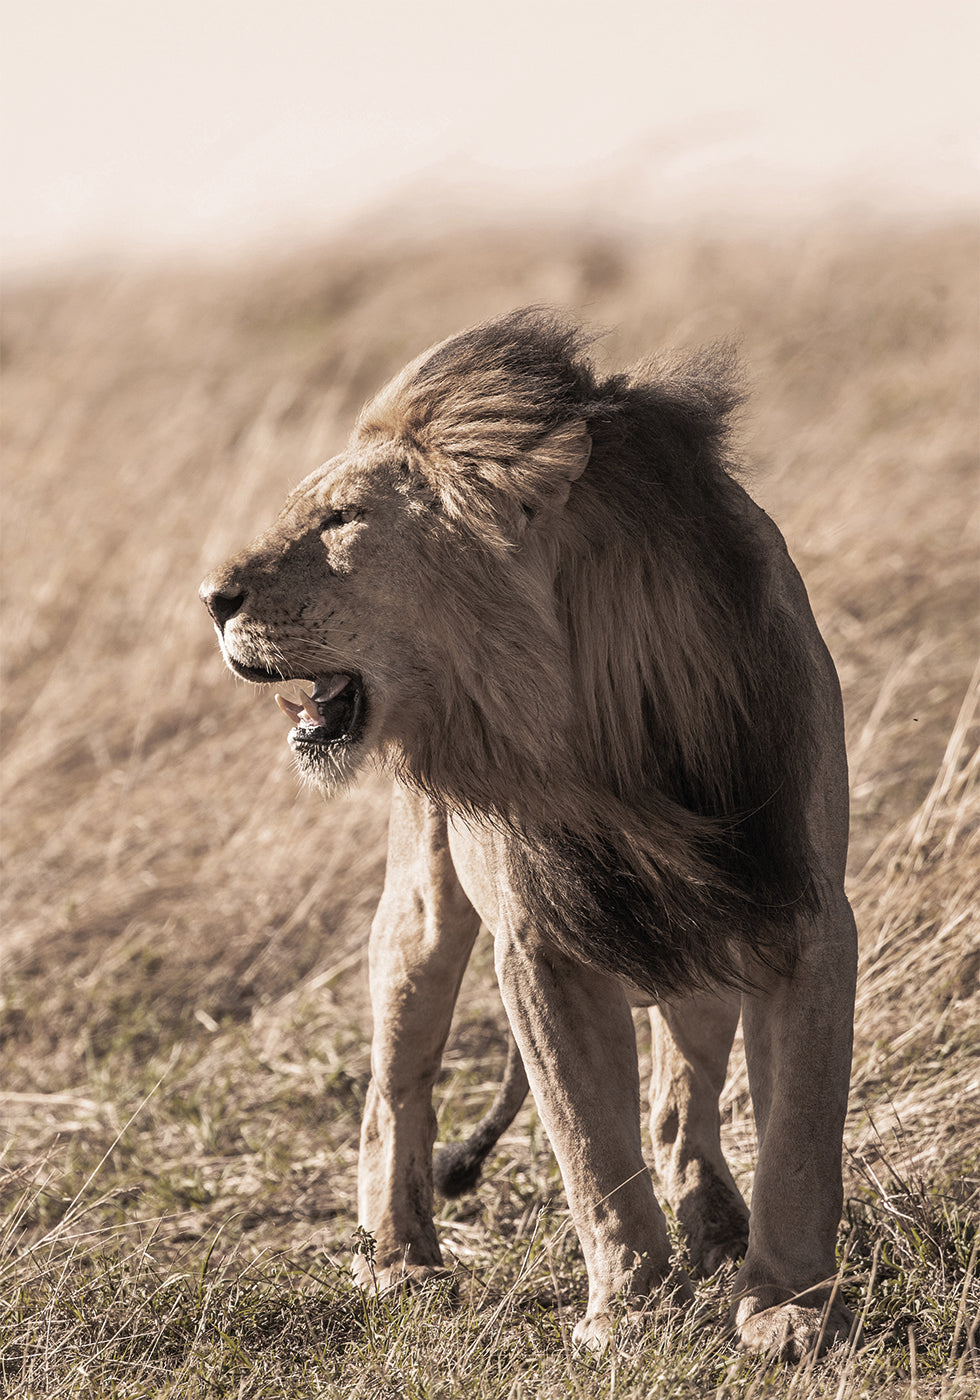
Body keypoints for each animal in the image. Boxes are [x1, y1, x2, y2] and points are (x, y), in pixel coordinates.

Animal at [201, 309, 856, 1355]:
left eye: (340, 521)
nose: (210, 598)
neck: (598, 722)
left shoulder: (797, 910)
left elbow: (799, 1134)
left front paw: (787, 1310)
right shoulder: (541, 944)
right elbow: (590, 1147)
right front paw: (628, 1316)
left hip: (701, 944)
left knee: (681, 1097)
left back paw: (715, 1223)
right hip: (422, 910)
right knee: (395, 1089)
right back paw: (400, 1260)